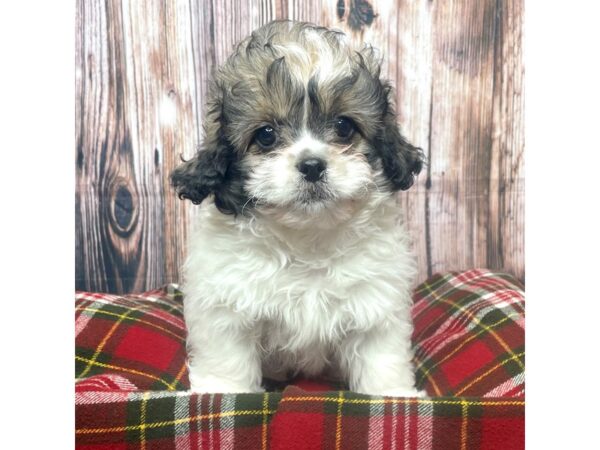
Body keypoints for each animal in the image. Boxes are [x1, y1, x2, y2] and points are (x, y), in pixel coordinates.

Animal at [171, 20, 426, 398]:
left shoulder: (375, 302)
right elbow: (228, 358)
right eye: (265, 135)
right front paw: (221, 392)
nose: (312, 165)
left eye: (344, 127)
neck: (308, 240)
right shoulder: (228, 305)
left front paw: (392, 394)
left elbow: (380, 357)